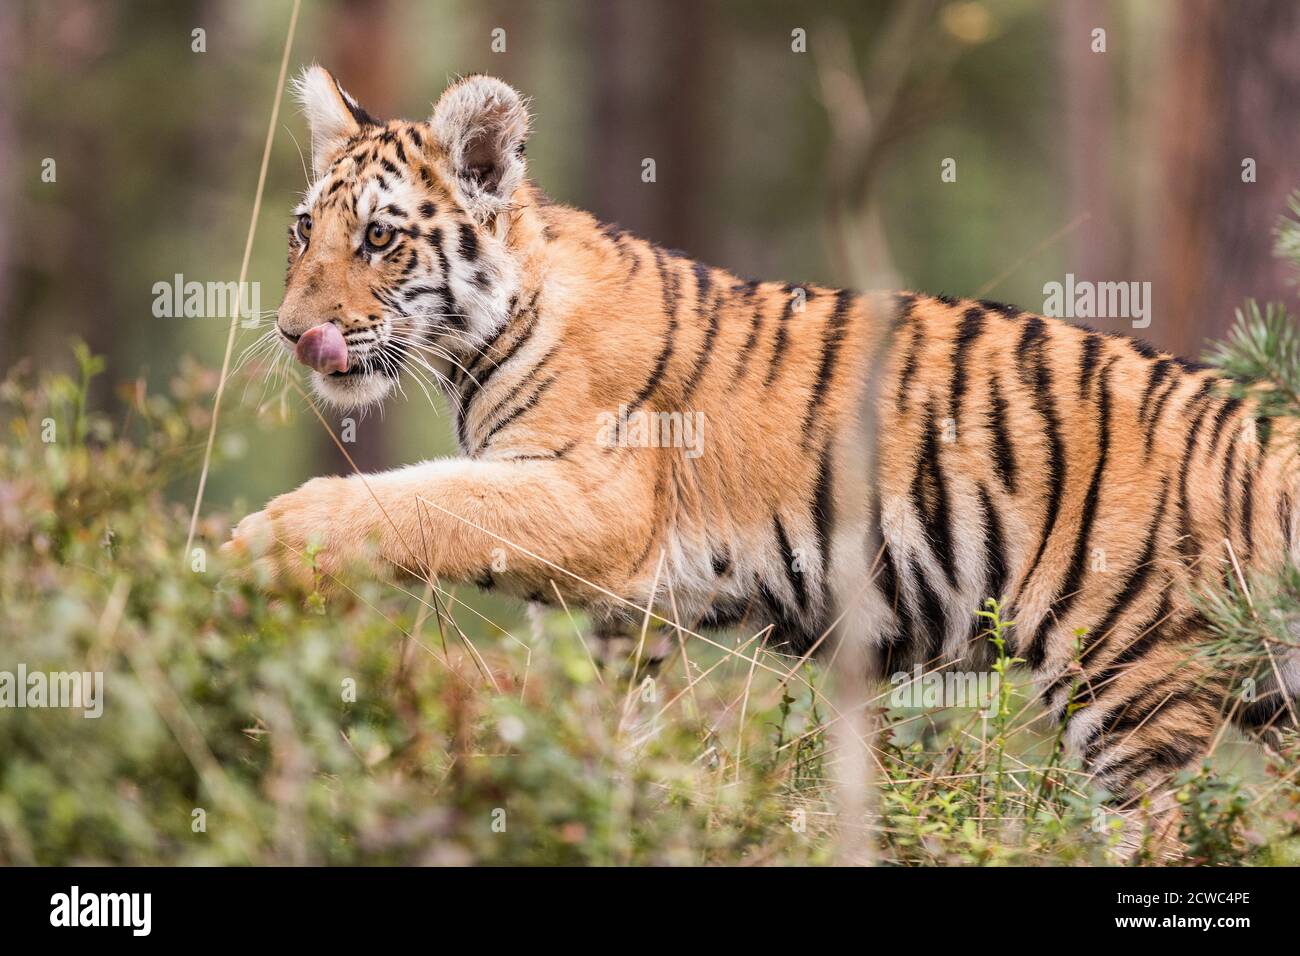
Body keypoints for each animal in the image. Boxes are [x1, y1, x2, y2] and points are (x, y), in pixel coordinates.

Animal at [218, 67, 1294, 811]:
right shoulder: (626, 607)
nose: (292, 332)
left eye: (379, 238)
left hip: (1133, 694)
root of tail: (1260, 424)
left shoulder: (589, 502)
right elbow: (610, 710)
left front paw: (263, 541)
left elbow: (420, 498)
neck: (478, 340)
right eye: (303, 229)